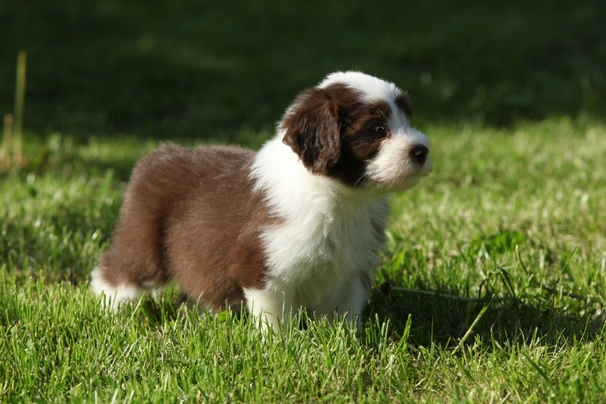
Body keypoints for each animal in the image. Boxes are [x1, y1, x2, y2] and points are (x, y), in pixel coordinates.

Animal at [90, 72, 432, 332]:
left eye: (409, 120)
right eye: (377, 129)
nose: (422, 150)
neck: (338, 196)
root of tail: (160, 154)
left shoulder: (352, 268)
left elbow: (346, 314)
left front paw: (347, 342)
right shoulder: (264, 265)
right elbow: (275, 318)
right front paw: (281, 346)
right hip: (144, 241)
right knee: (117, 272)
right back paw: (108, 311)